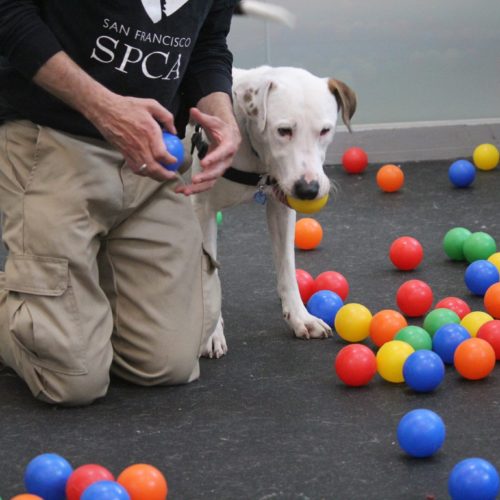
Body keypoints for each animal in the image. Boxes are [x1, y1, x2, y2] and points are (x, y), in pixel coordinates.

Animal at [188, 64, 356, 358]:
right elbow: (208, 278)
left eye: (325, 130)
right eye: (284, 130)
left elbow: (287, 266)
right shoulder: (203, 210)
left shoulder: (282, 209)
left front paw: (301, 317)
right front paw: (211, 334)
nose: (308, 189)